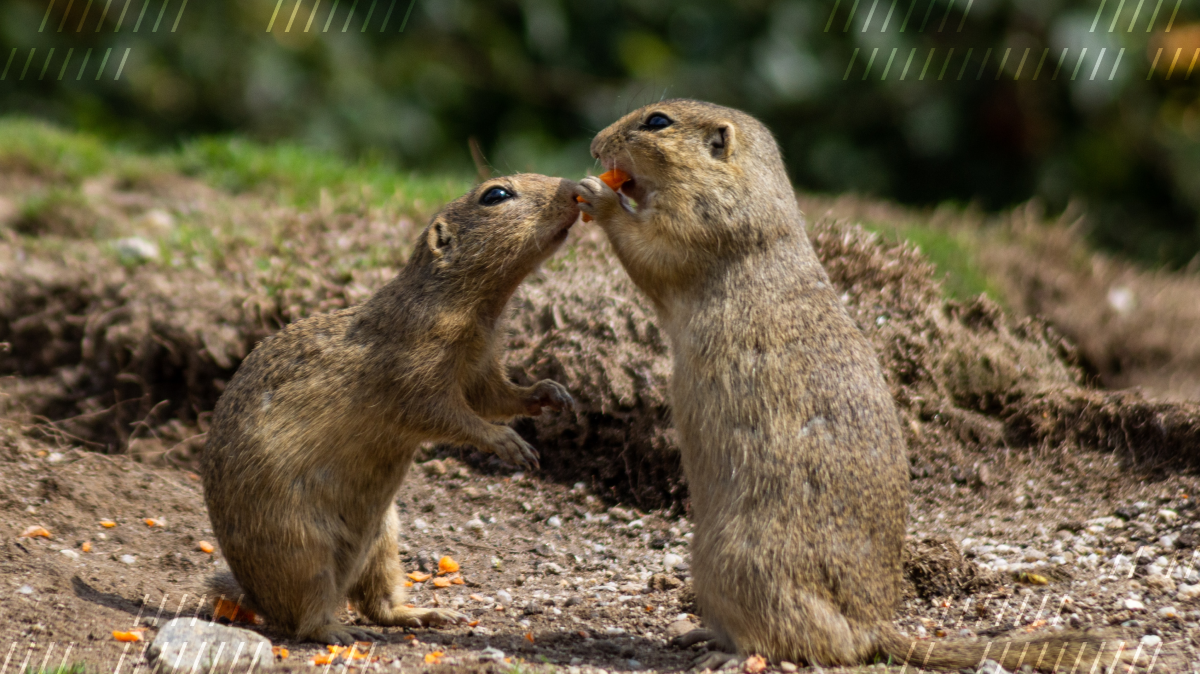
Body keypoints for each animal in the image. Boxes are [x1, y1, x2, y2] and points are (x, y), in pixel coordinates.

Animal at [201, 173, 576, 647]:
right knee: (304, 619)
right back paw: (340, 631)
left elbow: (500, 398)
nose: (576, 188)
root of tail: (256, 598)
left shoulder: (481, 368)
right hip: (301, 548)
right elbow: (449, 414)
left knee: (376, 603)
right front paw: (509, 443)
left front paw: (552, 394)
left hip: (384, 541)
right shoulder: (416, 370)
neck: (477, 308)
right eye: (495, 195)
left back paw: (426, 614)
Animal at [576, 100, 1137, 671]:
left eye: (657, 122)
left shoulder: (697, 228)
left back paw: (724, 655)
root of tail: (874, 627)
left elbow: (646, 247)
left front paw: (595, 194)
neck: (751, 192)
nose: (596, 145)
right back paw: (698, 636)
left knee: (788, 641)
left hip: (733, 562)